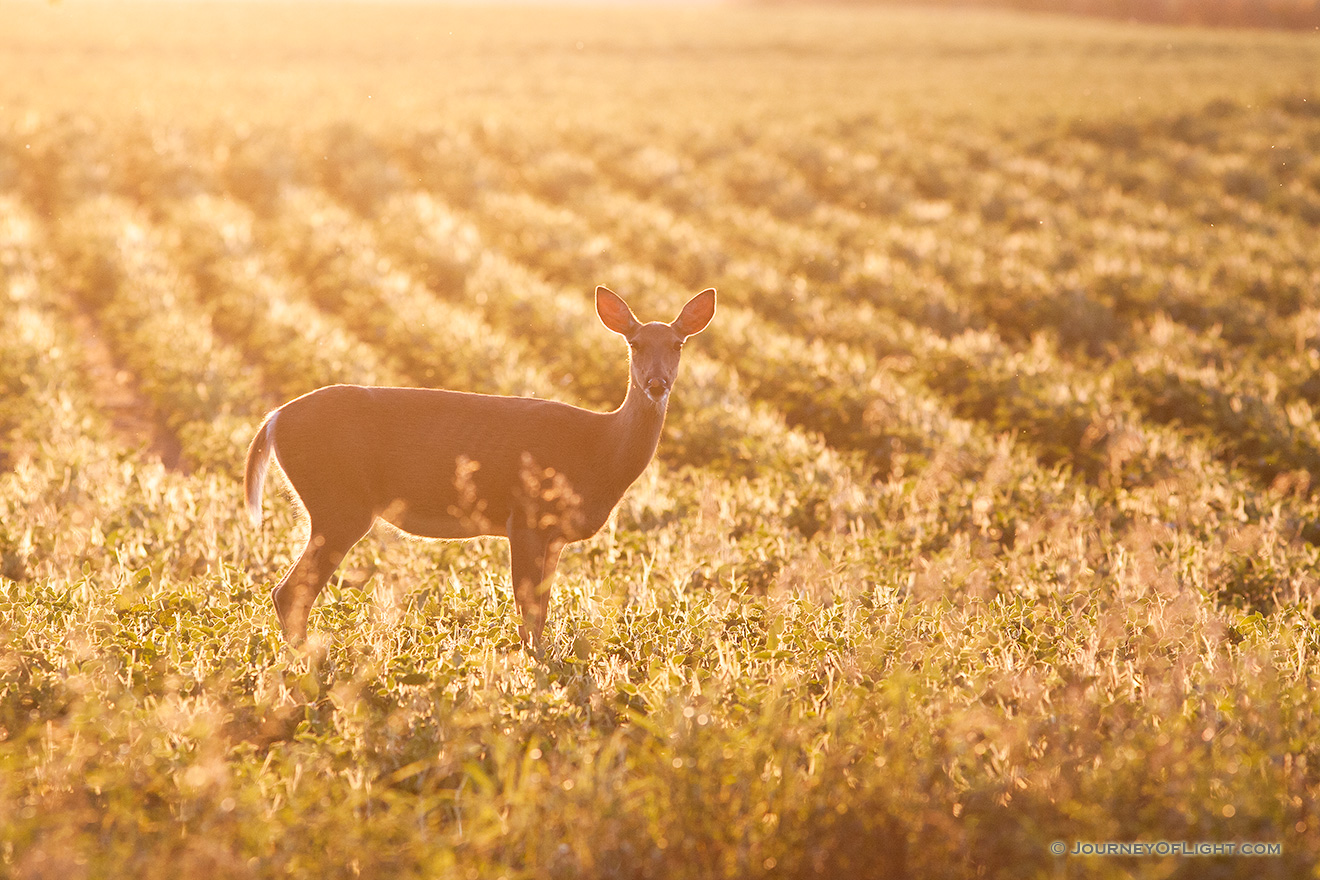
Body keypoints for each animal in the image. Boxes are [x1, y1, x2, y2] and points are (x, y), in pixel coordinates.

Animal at [245, 288, 723, 654]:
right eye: (635, 344)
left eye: (678, 345)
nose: (656, 384)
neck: (599, 450)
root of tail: (273, 419)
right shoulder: (525, 517)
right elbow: (529, 611)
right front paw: (534, 667)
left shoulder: (554, 535)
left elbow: (540, 609)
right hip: (339, 503)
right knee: (290, 591)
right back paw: (308, 664)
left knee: (290, 591)